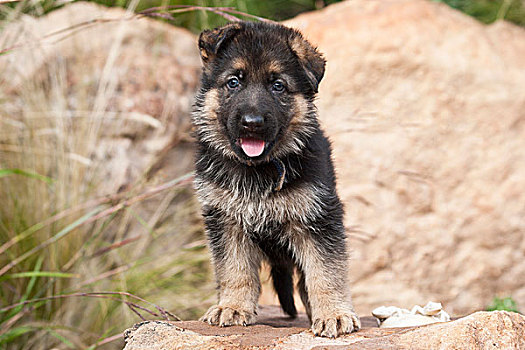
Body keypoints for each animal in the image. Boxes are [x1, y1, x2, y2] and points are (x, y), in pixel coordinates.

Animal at [192, 20, 360, 338]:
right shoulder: (225, 220)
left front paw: (333, 314)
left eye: (278, 85)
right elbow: (234, 269)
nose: (252, 123)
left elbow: (326, 272)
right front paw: (232, 307)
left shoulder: (319, 218)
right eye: (234, 82)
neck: (259, 170)